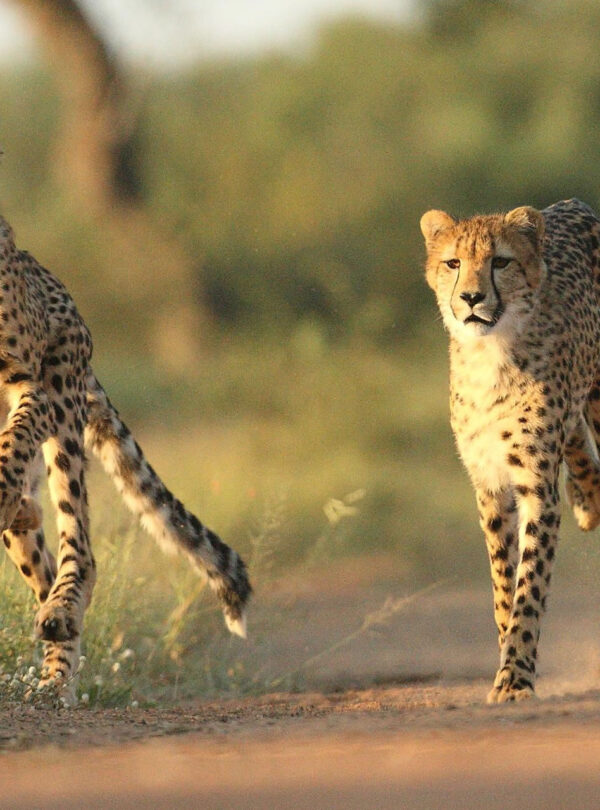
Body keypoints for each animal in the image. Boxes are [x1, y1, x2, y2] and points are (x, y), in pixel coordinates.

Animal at [0, 216, 251, 704]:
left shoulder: (31, 381)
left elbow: (13, 441)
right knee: (40, 562)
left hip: (65, 390)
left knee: (77, 542)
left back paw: (58, 655)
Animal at [420, 198, 600, 702]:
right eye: (453, 263)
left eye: (500, 262)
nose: (471, 298)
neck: (489, 355)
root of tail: (574, 202)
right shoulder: (491, 488)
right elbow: (504, 584)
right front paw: (507, 655)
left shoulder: (536, 488)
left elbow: (529, 586)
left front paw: (516, 676)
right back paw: (588, 501)